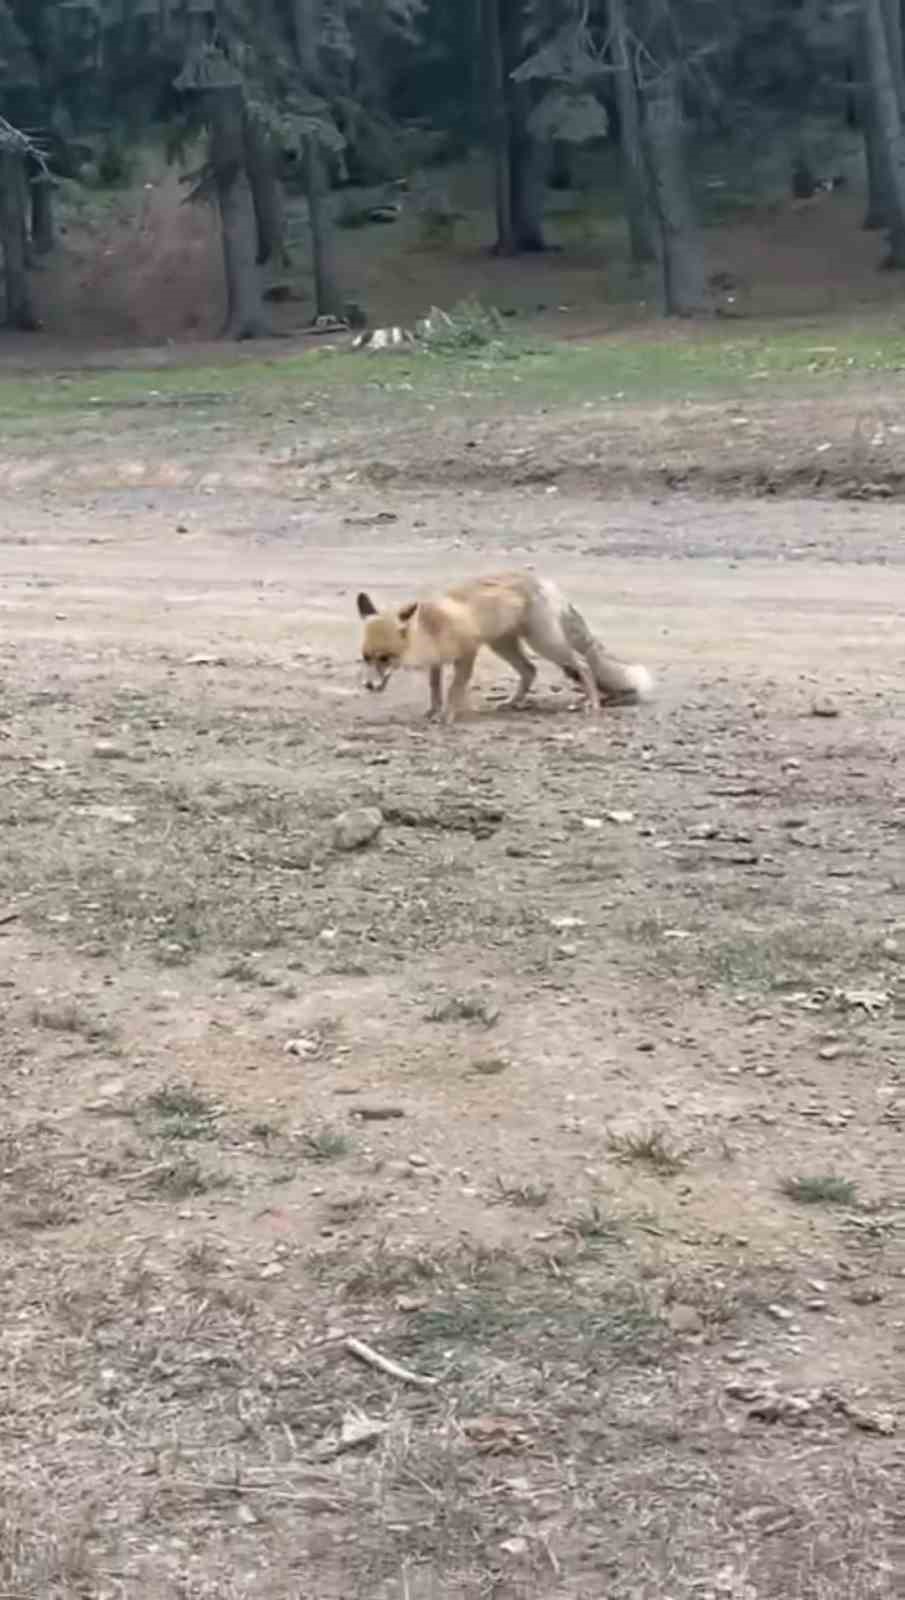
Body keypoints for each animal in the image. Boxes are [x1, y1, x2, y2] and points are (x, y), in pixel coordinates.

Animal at [358, 569, 655, 726]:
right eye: (366, 658)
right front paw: (433, 711)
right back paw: (514, 702)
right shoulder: (437, 661)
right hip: (503, 645)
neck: (428, 631)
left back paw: (593, 703)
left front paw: (447, 716)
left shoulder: (468, 652)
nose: (369, 686)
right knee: (530, 670)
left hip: (544, 643)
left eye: (385, 658)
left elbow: (454, 690)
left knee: (581, 663)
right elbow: (434, 689)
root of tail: (544, 582)